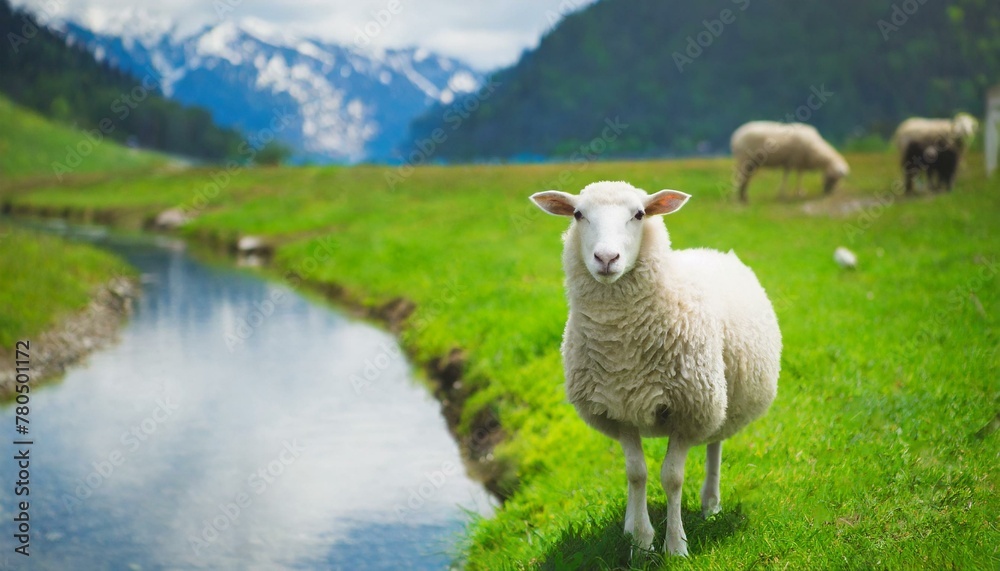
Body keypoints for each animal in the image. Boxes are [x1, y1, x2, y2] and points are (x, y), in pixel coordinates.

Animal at [530, 181, 782, 556]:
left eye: (639, 214)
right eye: (577, 214)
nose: (607, 259)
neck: (621, 345)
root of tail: (713, 251)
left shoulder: (688, 410)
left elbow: (671, 478)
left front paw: (675, 545)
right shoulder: (617, 410)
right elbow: (636, 473)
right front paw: (640, 541)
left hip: (719, 400)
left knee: (715, 445)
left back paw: (710, 503)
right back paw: (630, 523)